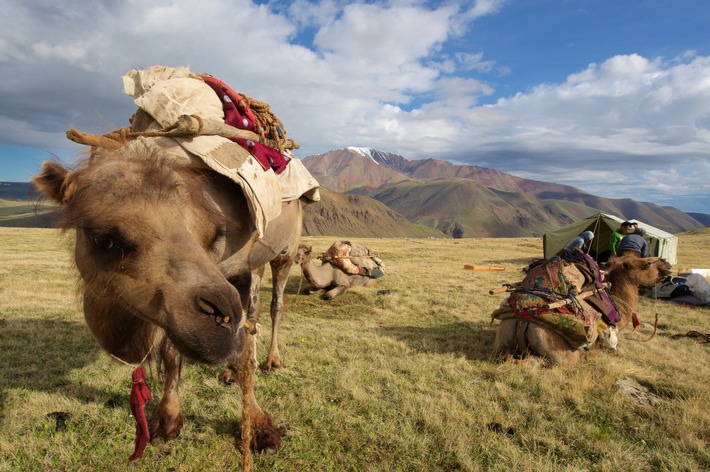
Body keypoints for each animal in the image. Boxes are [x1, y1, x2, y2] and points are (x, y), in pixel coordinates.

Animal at [34, 143, 300, 464]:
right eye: (104, 240)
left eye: (215, 234)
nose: (222, 319)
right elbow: (173, 352)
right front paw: (168, 419)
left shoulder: (239, 269)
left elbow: (245, 352)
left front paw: (260, 428)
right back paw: (228, 372)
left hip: (285, 253)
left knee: (274, 306)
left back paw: (272, 361)